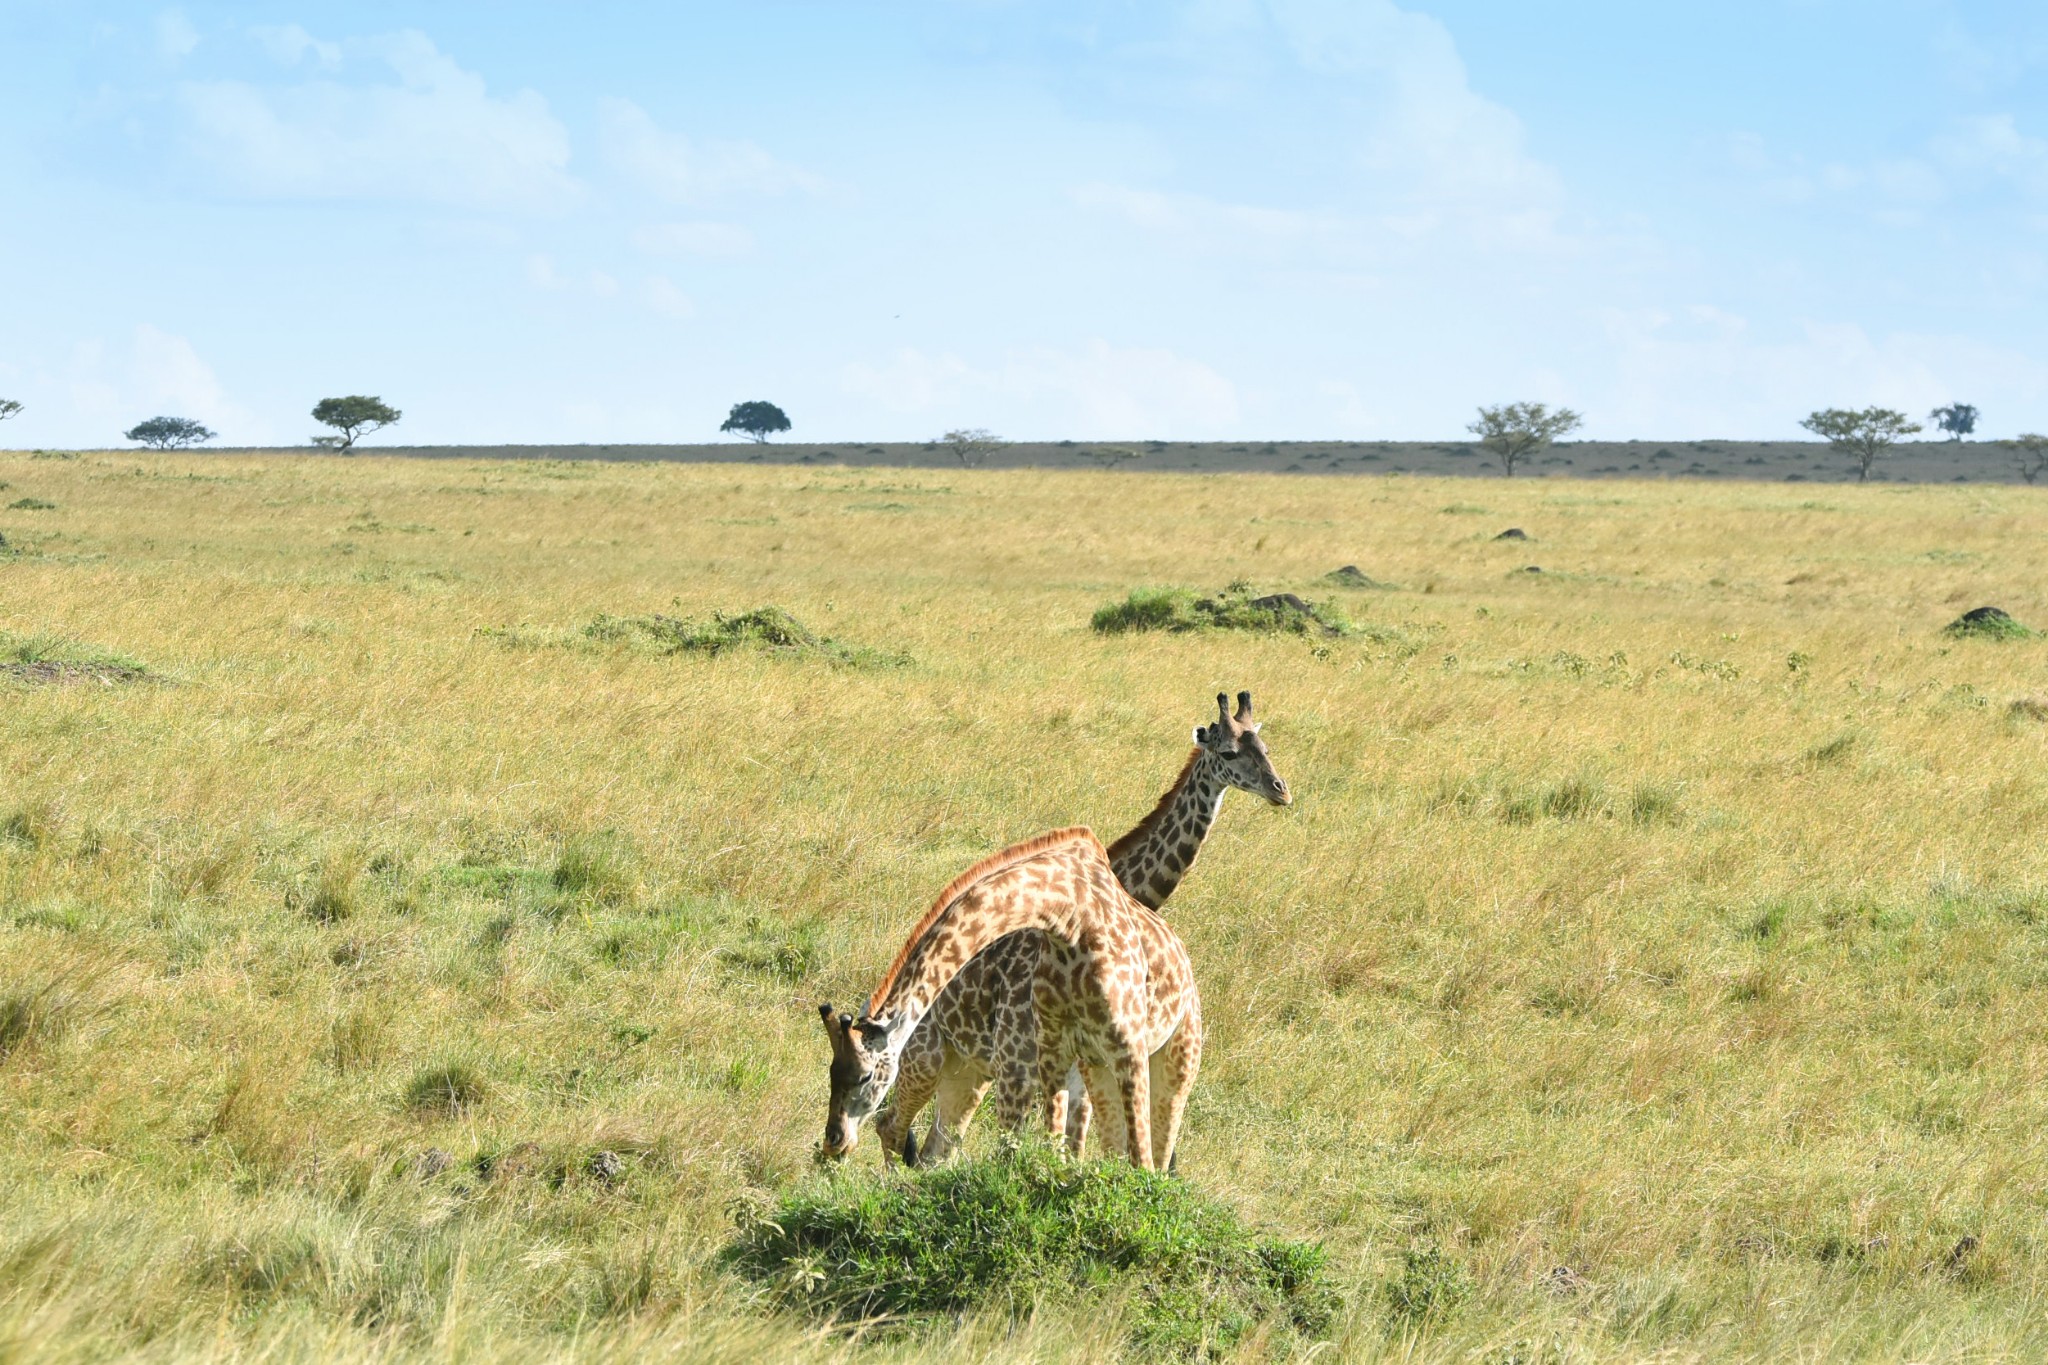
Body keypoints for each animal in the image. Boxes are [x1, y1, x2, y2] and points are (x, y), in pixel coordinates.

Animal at [815, 826, 1196, 1170]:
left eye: (865, 1076)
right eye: (832, 1070)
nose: (833, 1140)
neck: (1071, 917)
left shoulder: (1126, 1046)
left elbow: (1139, 1159)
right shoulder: (1050, 1051)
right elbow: (1049, 1151)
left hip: (1177, 1060)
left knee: (1158, 1155)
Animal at [872, 695, 1286, 1162]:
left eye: (1265, 748)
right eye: (1230, 753)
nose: (1280, 790)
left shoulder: (1075, 1069)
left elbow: (1074, 1149)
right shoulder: (1022, 1064)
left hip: (970, 1072)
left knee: (933, 1150)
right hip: (927, 1058)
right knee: (890, 1127)